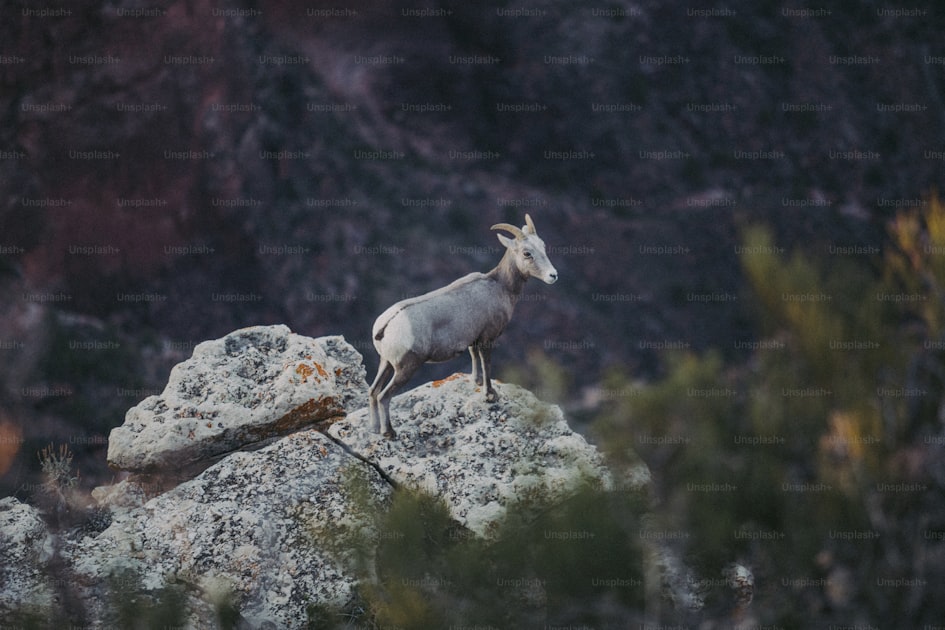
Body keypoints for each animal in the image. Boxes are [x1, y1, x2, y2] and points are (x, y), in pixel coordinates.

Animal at [368, 214, 558, 438]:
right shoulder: (487, 340)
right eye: (527, 253)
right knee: (383, 396)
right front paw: (490, 395)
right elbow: (486, 365)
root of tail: (385, 326)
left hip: (386, 363)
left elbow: (474, 359)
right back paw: (389, 432)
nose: (553, 275)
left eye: (543, 246)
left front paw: (476, 383)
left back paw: (373, 429)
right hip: (405, 369)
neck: (500, 286)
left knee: (373, 391)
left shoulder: (473, 341)